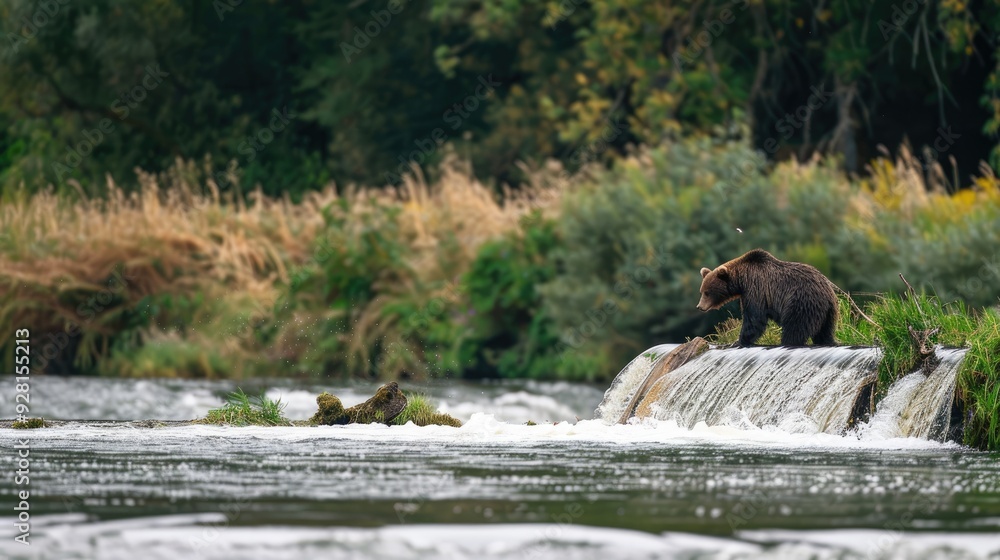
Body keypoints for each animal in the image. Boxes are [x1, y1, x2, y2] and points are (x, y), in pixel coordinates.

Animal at [696, 249, 837, 347]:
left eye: (707, 292)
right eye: (701, 291)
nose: (700, 307)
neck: (741, 280)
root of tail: (827, 291)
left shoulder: (756, 288)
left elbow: (754, 318)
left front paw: (739, 341)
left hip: (801, 301)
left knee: (795, 326)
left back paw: (787, 342)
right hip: (828, 310)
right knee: (825, 329)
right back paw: (827, 341)